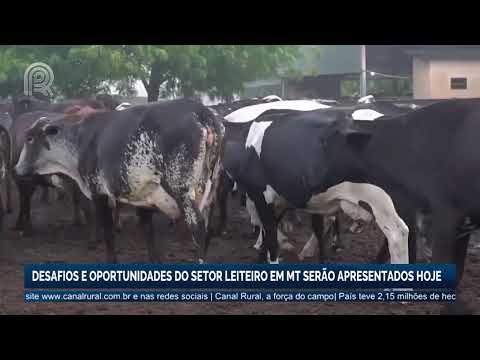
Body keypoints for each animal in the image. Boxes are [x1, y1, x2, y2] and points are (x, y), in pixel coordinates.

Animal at [14, 100, 225, 262]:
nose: (17, 168)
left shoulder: (100, 194)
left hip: (183, 192)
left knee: (198, 227)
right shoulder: (144, 198)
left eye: (30, 138)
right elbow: (148, 233)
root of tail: (202, 111)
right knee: (207, 228)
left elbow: (108, 233)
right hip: (209, 191)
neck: (81, 140)